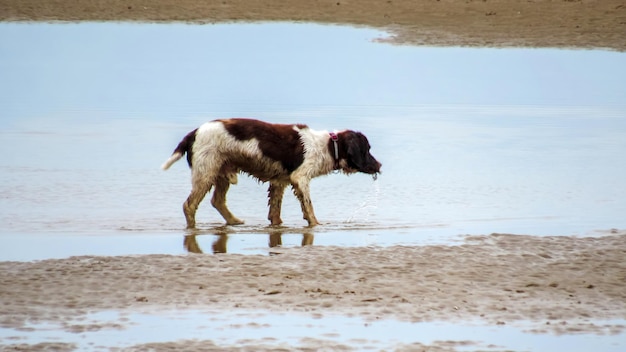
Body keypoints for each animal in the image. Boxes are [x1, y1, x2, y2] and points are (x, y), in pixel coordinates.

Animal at [161, 118, 380, 228]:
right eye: (367, 149)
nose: (379, 165)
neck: (327, 146)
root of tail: (194, 132)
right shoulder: (300, 178)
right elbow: (309, 207)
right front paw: (316, 224)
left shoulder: (279, 182)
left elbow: (275, 211)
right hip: (206, 173)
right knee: (189, 205)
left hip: (221, 172)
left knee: (217, 201)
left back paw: (234, 221)